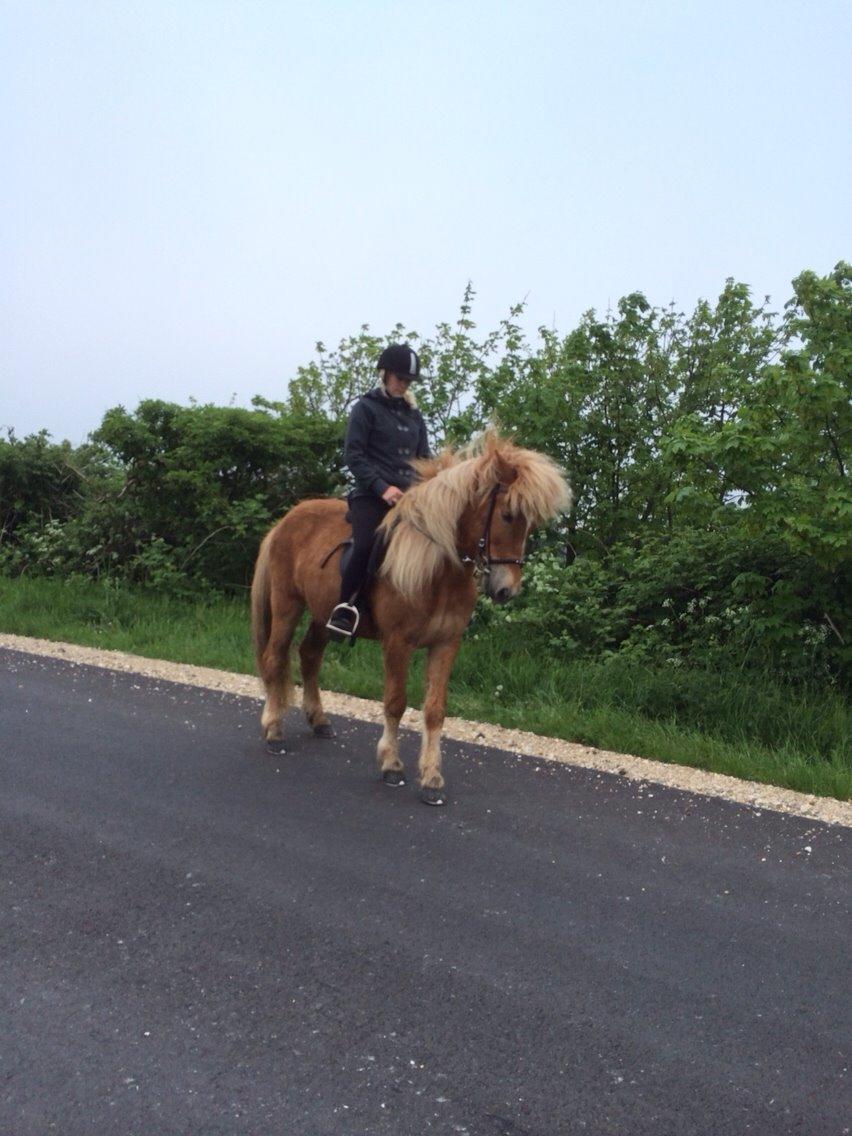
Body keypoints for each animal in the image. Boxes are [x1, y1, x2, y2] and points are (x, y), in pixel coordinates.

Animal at [252, 429, 574, 804]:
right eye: (507, 515)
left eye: (530, 522)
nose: (506, 590)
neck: (438, 569)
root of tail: (286, 520)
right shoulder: (397, 643)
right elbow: (395, 702)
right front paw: (392, 765)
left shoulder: (446, 644)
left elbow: (435, 710)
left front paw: (432, 778)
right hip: (287, 605)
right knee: (275, 657)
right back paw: (273, 730)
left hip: (321, 614)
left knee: (309, 656)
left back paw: (319, 721)